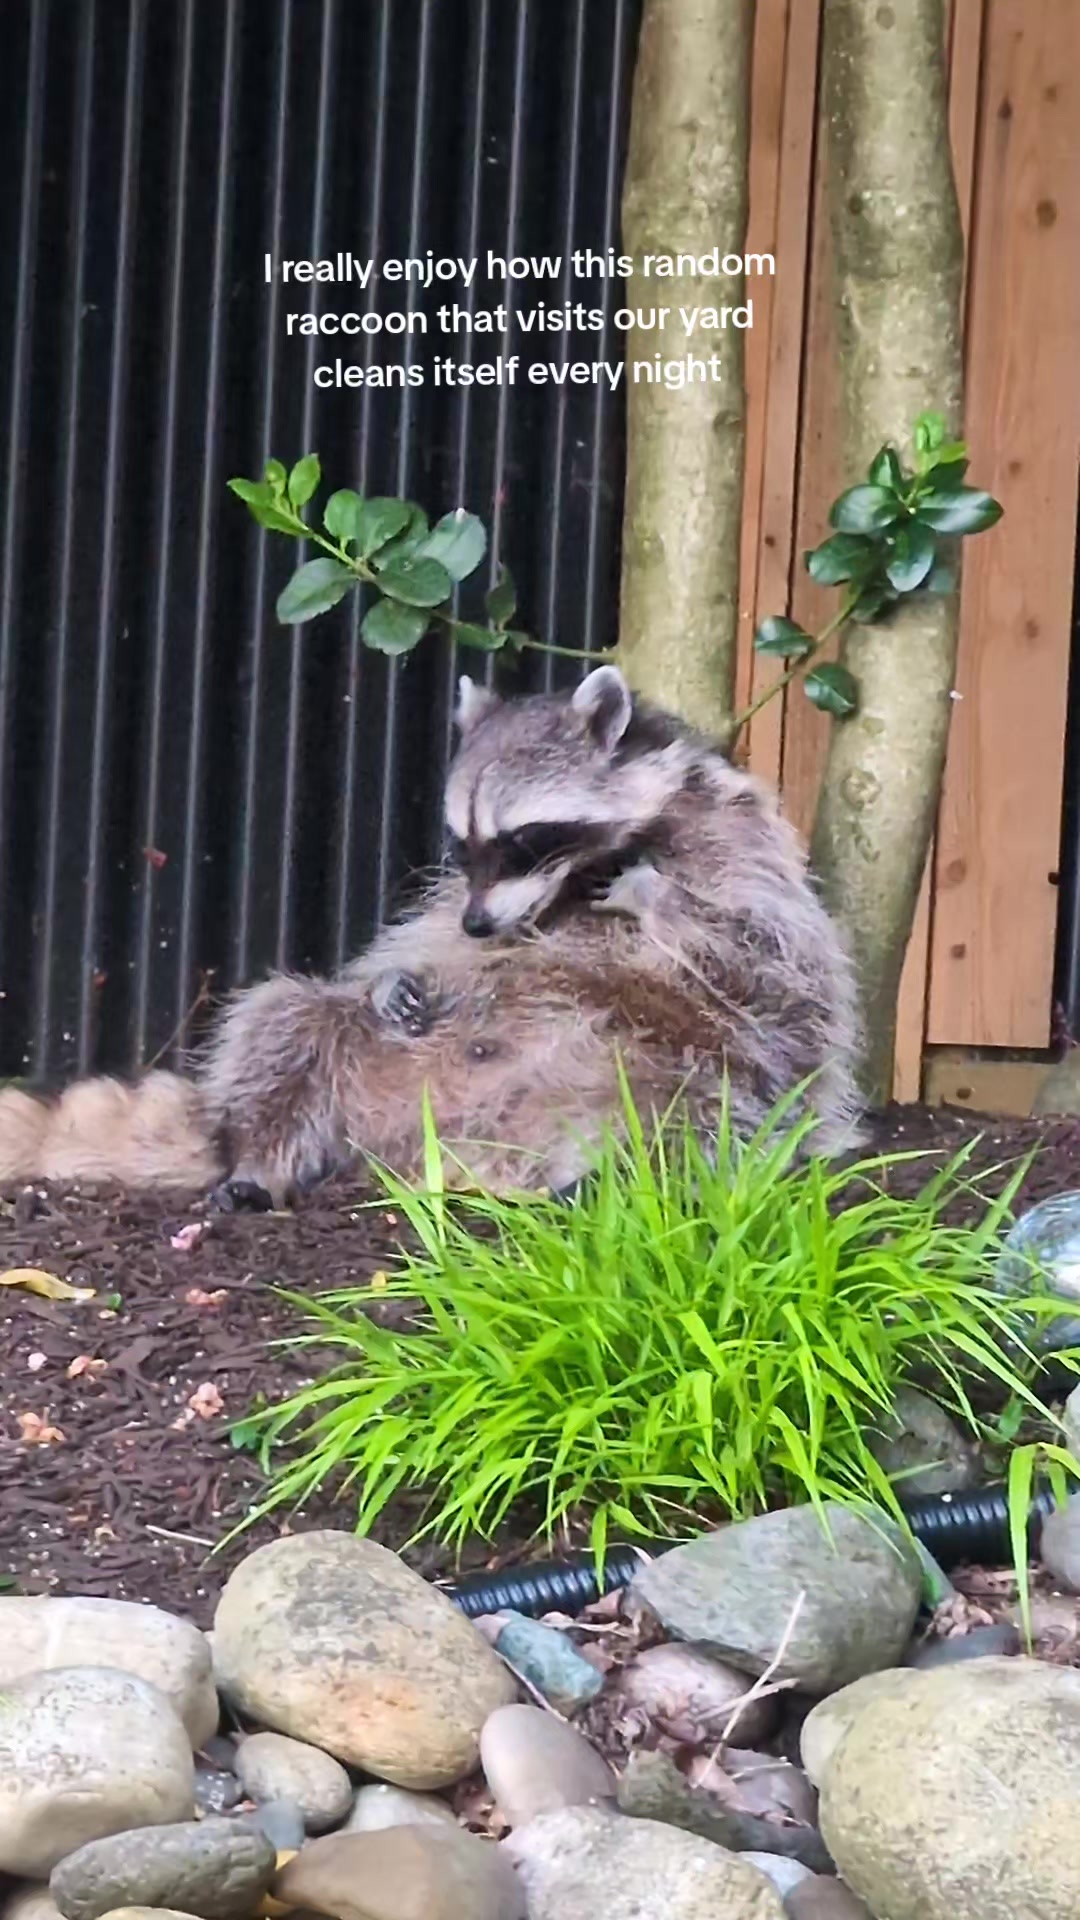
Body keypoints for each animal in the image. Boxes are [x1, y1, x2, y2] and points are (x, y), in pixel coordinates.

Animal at [0, 666, 862, 1202]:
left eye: (523, 839)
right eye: (464, 844)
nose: (482, 924)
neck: (581, 872)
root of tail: (453, 1145)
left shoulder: (741, 848)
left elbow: (773, 973)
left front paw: (655, 897)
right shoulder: (470, 905)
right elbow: (422, 941)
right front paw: (407, 972)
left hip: (672, 1076)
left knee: (703, 1112)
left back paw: (609, 1170)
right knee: (289, 1018)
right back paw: (256, 1153)